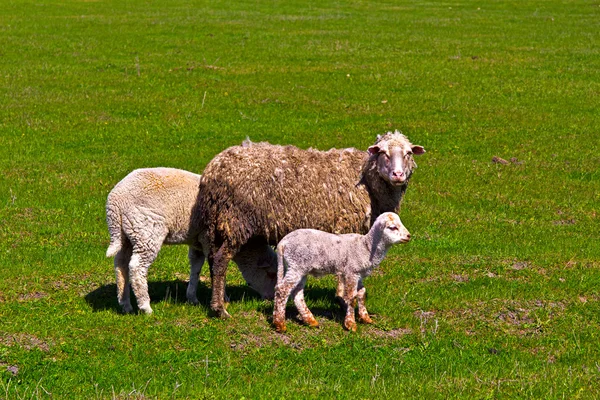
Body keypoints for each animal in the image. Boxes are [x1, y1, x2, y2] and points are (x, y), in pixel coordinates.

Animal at [106, 167, 278, 314]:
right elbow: (216, 267)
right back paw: (145, 307)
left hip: (127, 235)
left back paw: (125, 305)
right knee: (136, 267)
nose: (270, 298)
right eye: (271, 274)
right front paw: (223, 298)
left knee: (120, 264)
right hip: (147, 231)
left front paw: (192, 297)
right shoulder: (209, 239)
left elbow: (196, 267)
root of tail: (116, 201)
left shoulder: (198, 241)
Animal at [195, 131, 424, 318]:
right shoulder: (346, 227)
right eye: (383, 152)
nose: (398, 175)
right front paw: (343, 300)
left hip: (218, 223)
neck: (366, 179)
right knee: (221, 260)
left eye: (408, 153)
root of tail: (213, 169)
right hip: (236, 221)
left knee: (213, 258)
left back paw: (222, 299)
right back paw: (219, 309)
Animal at [274, 212, 410, 332]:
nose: (409, 236)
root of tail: (283, 242)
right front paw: (351, 324)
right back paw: (280, 324)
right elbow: (351, 297)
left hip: (300, 268)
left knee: (297, 294)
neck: (366, 247)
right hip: (296, 265)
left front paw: (365, 318)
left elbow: (362, 294)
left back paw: (310, 321)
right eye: (392, 227)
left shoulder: (358, 274)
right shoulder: (351, 272)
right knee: (282, 290)